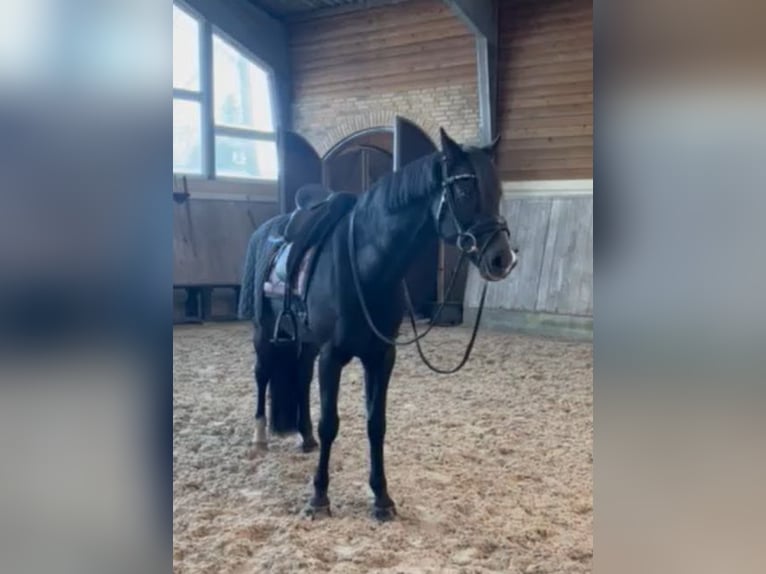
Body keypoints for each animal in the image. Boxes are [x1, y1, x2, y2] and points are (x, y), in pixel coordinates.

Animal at [238, 128, 517, 520]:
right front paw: (319, 496)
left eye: (498, 192)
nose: (502, 259)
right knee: (262, 375)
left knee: (300, 377)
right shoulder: (332, 356)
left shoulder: (381, 356)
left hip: (305, 342)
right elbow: (331, 423)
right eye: (464, 191)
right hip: (265, 333)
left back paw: (305, 438)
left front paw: (382, 498)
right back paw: (260, 438)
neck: (367, 265)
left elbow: (376, 424)